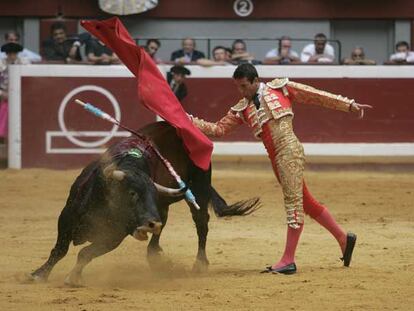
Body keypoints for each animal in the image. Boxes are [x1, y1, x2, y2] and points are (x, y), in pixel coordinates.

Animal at [29, 122, 258, 288]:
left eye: (152, 195)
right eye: (132, 193)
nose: (151, 224)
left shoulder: (114, 236)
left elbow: (85, 253)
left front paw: (73, 278)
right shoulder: (67, 217)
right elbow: (59, 250)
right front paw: (39, 274)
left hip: (199, 190)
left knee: (201, 224)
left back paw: (199, 264)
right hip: (165, 208)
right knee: (161, 229)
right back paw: (156, 255)